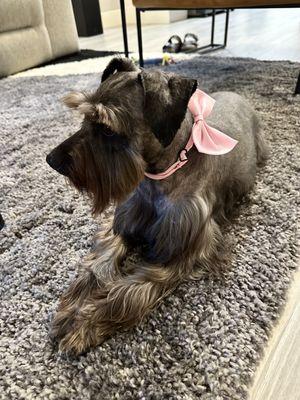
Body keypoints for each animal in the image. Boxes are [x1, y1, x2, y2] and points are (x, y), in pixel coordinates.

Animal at [46, 57, 268, 354]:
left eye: (107, 128)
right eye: (84, 118)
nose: (51, 159)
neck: (159, 175)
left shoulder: (177, 255)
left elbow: (127, 291)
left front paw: (85, 324)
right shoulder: (121, 227)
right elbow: (98, 265)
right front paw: (74, 304)